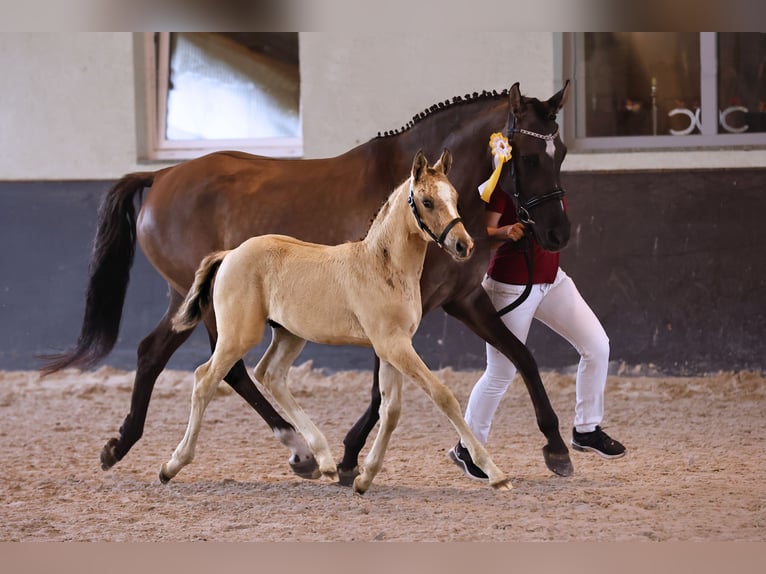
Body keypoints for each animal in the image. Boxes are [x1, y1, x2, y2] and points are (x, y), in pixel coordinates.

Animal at [43, 82, 576, 482]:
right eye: (528, 156)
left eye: (563, 151)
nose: (557, 234)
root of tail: (162, 176)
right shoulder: (396, 318)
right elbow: (381, 391)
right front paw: (350, 456)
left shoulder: (462, 300)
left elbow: (523, 356)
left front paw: (556, 446)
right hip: (216, 309)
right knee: (227, 371)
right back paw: (295, 448)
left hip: (187, 299)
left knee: (156, 353)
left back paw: (121, 445)